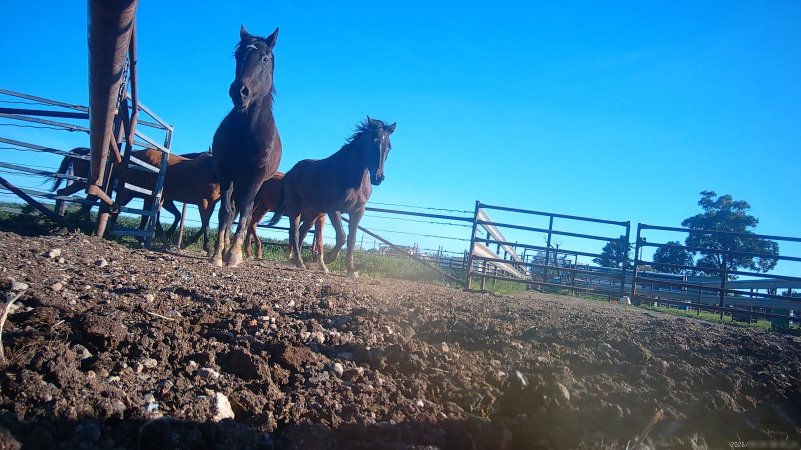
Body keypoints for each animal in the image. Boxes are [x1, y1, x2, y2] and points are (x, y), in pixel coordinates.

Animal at [210, 25, 282, 268]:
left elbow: (245, 212)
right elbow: (225, 212)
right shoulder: (225, 173)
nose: (239, 91)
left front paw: (234, 255)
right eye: (237, 55)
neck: (248, 133)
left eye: (265, 58)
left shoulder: (255, 178)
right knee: (232, 211)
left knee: (246, 212)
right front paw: (218, 255)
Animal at [267, 117, 396, 276]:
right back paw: (300, 262)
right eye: (373, 142)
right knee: (295, 232)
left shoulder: (358, 211)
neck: (350, 176)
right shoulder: (334, 209)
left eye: (389, 147)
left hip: (313, 213)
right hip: (295, 208)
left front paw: (351, 270)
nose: (378, 177)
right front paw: (329, 258)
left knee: (302, 231)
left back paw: (297, 261)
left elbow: (351, 239)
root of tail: (291, 172)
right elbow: (341, 236)